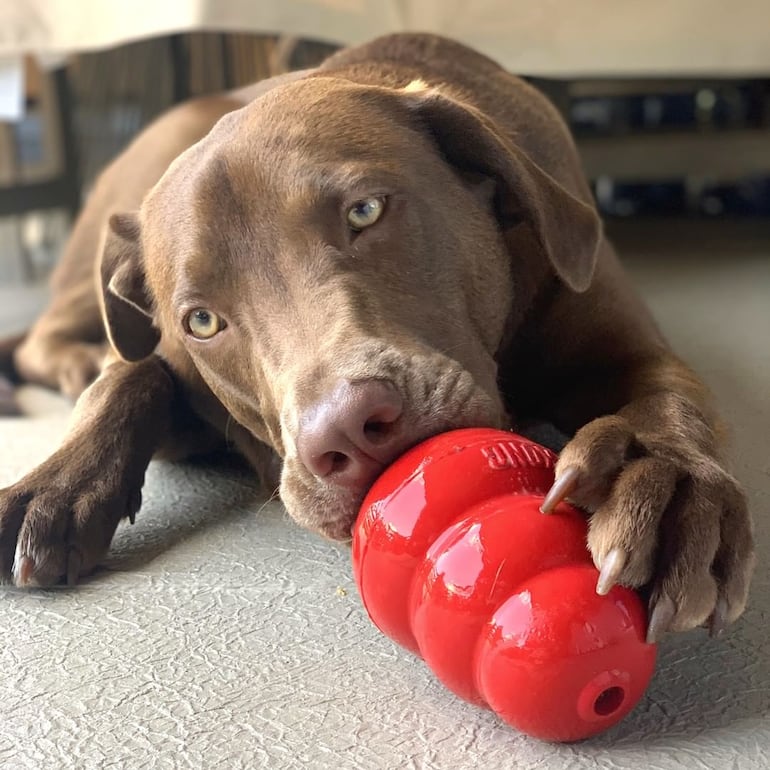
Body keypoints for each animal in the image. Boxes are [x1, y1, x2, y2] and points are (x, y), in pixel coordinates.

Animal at [0, 33, 752, 640]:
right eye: (203, 320)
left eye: (365, 210)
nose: (347, 430)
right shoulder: (185, 380)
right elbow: (134, 374)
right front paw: (55, 482)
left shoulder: (623, 340)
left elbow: (669, 396)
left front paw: (661, 478)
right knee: (48, 337)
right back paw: (74, 365)